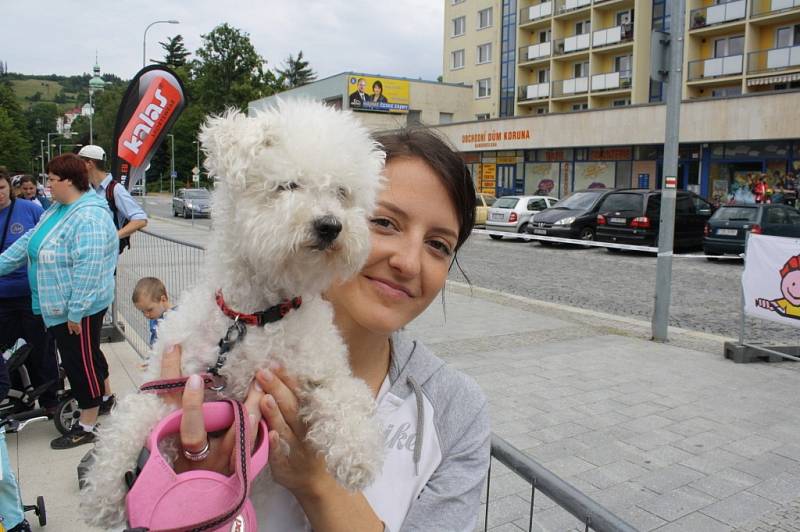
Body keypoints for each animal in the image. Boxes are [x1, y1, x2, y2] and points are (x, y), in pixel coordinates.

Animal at [79, 100, 386, 528]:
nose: (330, 225)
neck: (256, 318)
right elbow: (129, 423)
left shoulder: (320, 370)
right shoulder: (172, 386)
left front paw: (357, 452)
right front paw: (103, 495)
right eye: (286, 186)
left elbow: (346, 396)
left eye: (341, 193)